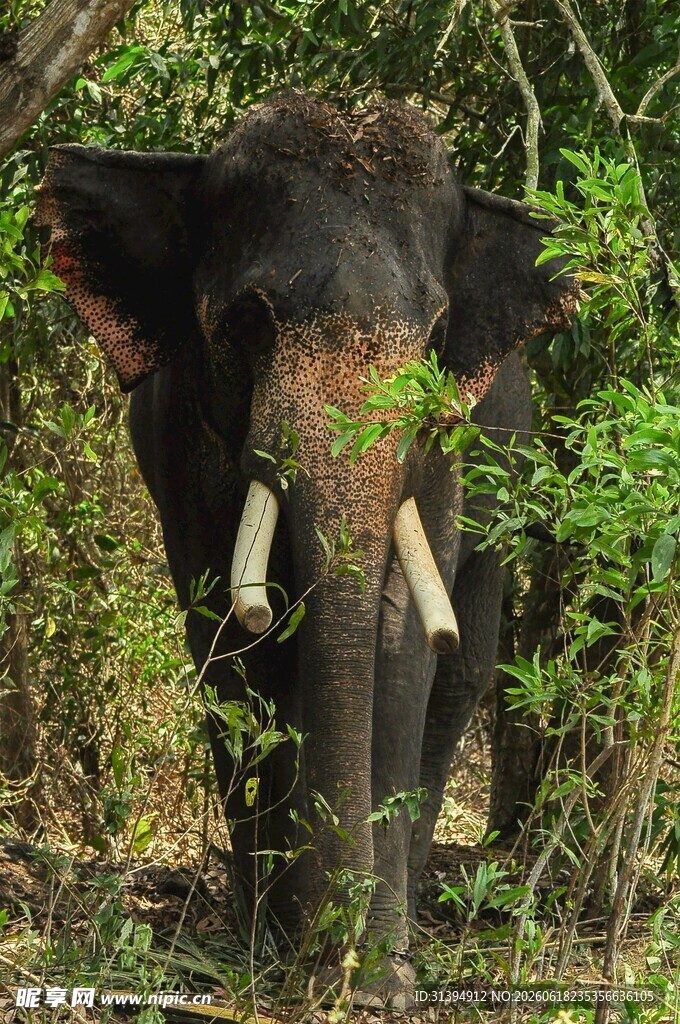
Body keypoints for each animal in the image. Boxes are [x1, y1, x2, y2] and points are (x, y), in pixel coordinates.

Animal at [36, 92, 578, 1004]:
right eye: (249, 321)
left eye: (436, 333)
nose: (340, 961)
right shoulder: (184, 437)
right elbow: (229, 644)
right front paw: (279, 950)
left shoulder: (442, 451)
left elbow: (400, 644)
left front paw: (378, 978)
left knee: (462, 675)